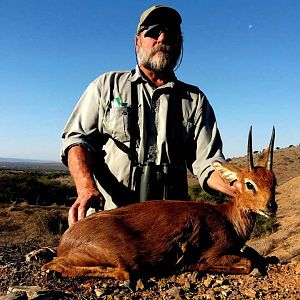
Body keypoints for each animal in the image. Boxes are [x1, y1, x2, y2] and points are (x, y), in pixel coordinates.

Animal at [44, 127, 276, 282]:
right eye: (249, 184)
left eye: (273, 182)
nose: (270, 207)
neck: (228, 219)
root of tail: (65, 240)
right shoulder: (215, 253)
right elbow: (248, 262)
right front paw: (191, 263)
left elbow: (254, 255)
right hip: (123, 258)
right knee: (120, 272)